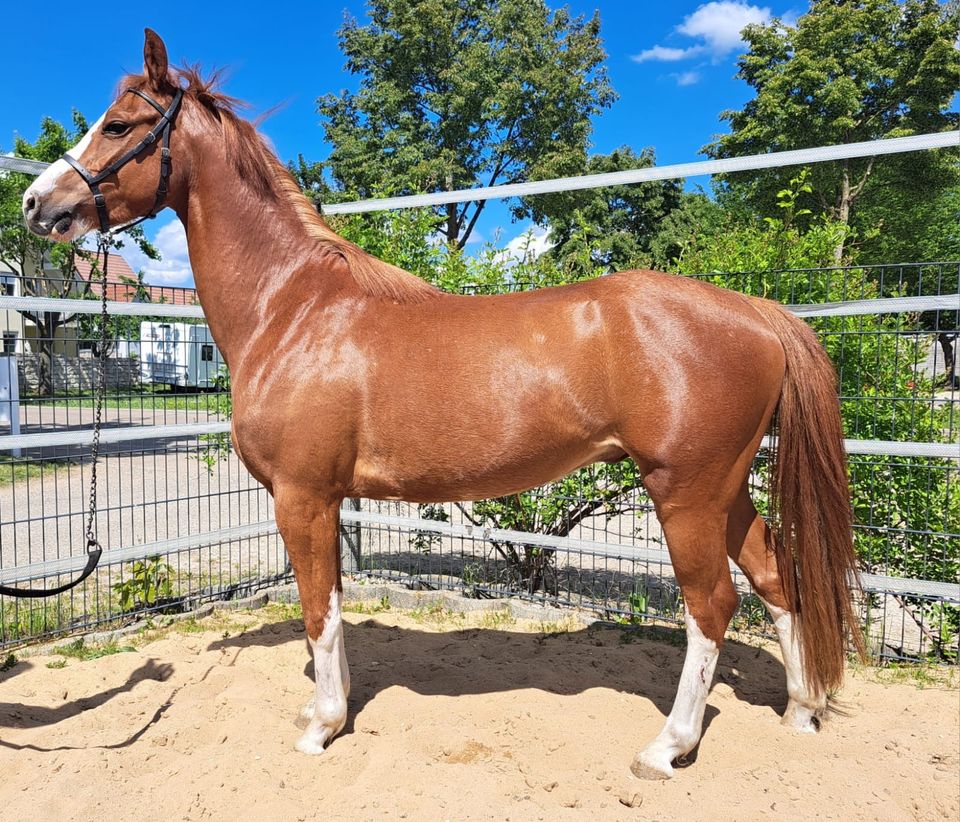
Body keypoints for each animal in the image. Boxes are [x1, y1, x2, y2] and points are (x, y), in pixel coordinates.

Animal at [24, 30, 864, 780]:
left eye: (120, 125)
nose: (37, 203)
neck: (292, 309)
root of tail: (757, 311)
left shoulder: (302, 496)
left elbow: (318, 610)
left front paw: (321, 727)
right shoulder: (327, 499)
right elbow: (331, 608)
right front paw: (329, 710)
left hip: (684, 492)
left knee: (712, 605)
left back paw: (666, 748)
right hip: (723, 491)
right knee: (776, 579)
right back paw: (799, 711)